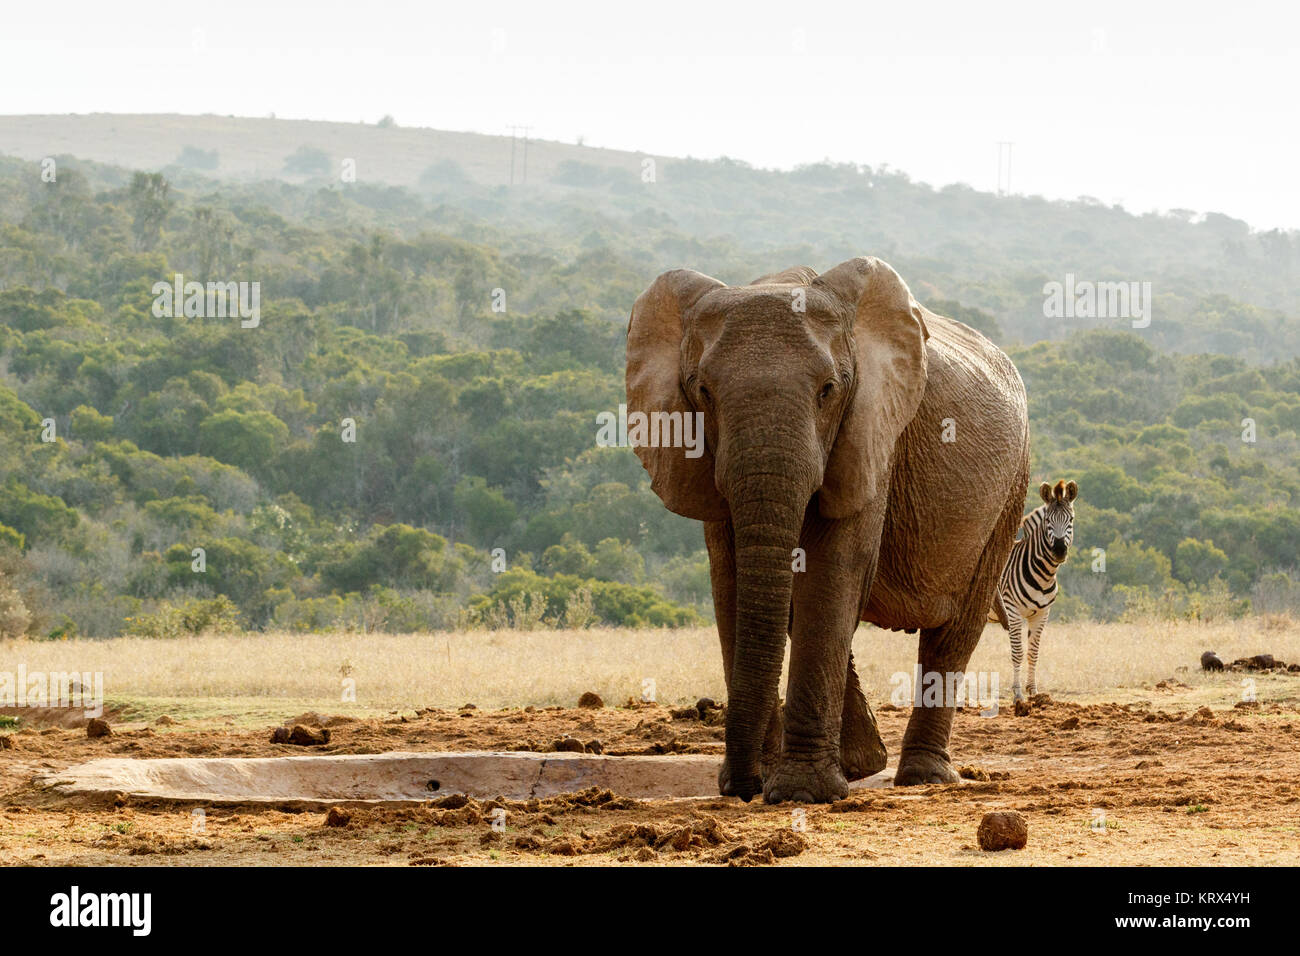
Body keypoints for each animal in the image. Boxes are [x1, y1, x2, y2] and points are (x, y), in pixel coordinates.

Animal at [624, 254, 1029, 801]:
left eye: (828, 391)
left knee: (955, 629)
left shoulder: (873, 432)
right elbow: (732, 579)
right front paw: (769, 780)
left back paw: (923, 776)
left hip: (1011, 490)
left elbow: (832, 569)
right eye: (702, 391)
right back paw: (863, 764)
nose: (744, 786)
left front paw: (800, 793)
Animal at [993, 481, 1076, 697]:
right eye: (1048, 520)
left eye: (1071, 519)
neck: (1044, 575)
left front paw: (1033, 691)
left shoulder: (1041, 614)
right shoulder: (1012, 610)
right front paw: (1017, 694)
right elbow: (1018, 653)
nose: (1059, 551)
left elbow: (1033, 652)